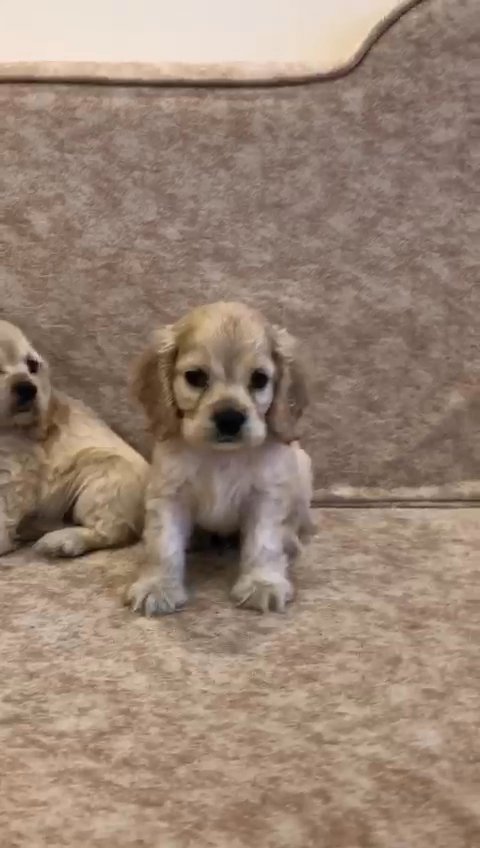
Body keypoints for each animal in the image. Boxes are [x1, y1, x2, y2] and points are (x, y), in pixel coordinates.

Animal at [0, 318, 148, 556]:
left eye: (32, 366)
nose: (27, 388)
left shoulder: (14, 474)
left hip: (105, 480)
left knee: (111, 530)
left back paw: (61, 541)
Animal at [127, 304, 314, 616]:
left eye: (259, 379)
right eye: (195, 377)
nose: (229, 418)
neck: (220, 457)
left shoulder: (266, 497)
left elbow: (264, 544)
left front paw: (262, 583)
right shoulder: (169, 495)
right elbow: (163, 545)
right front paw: (157, 586)